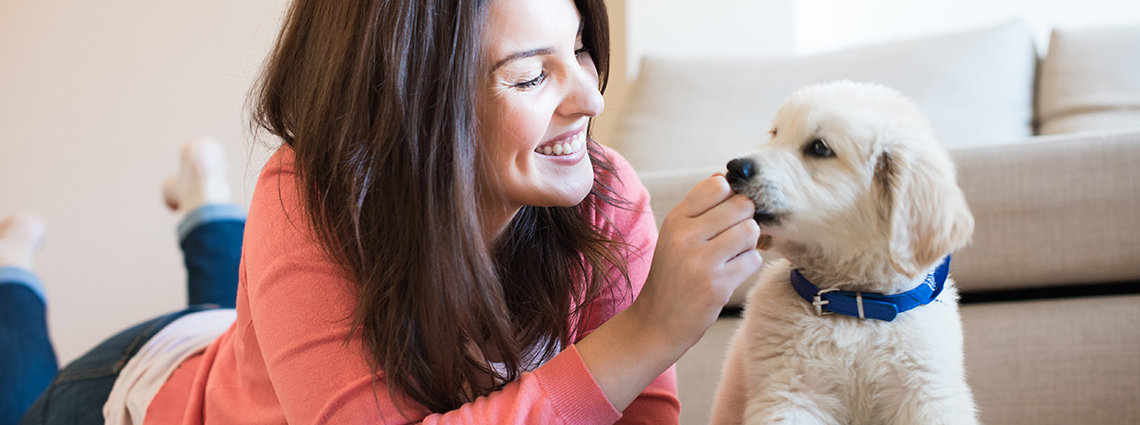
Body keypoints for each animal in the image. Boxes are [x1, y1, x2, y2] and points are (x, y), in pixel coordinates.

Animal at [706, 80, 975, 423]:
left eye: (819, 148)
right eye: (775, 134)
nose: (734, 167)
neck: (853, 304)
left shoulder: (927, 395)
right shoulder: (790, 394)